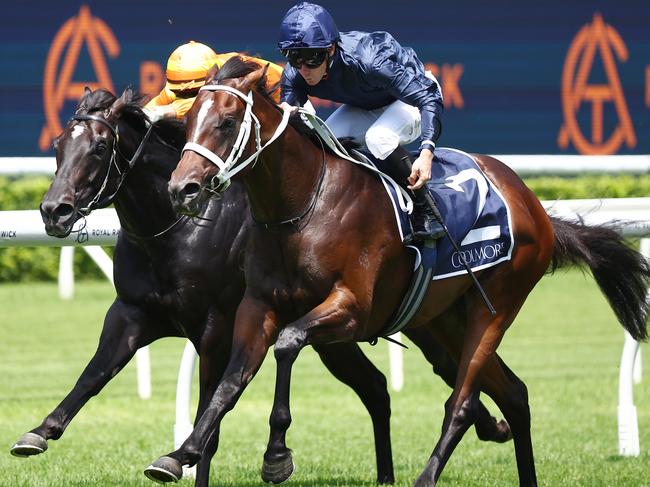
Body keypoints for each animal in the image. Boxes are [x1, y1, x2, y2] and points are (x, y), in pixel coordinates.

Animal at [11, 86, 506, 484]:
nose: (53, 211)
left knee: (446, 370)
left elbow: (210, 414)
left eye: (98, 148)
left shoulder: (214, 327)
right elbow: (94, 373)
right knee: (378, 387)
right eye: (58, 146)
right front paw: (38, 432)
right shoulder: (133, 312)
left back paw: (487, 426)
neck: (177, 231)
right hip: (347, 335)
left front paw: (182, 461)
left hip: (411, 317)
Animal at [153, 58, 648, 487]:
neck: (304, 206)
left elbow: (289, 344)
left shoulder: (352, 309)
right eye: (189, 118)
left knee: (462, 401)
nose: (182, 189)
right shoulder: (258, 307)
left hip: (497, 305)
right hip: (447, 316)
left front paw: (276, 456)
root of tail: (534, 204)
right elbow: (230, 383)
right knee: (515, 393)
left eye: (227, 120)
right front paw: (181, 453)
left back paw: (427, 476)